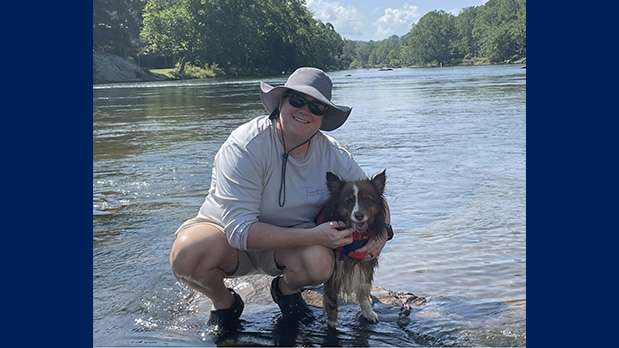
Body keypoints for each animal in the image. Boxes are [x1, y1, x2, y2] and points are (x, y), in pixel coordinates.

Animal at [320, 170, 388, 328]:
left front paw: (368, 312)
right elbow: (331, 299)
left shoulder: (366, 260)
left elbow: (363, 289)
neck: (357, 236)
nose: (359, 215)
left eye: (368, 199)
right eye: (348, 201)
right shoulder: (335, 269)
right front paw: (332, 323)